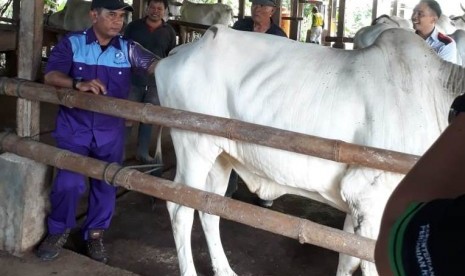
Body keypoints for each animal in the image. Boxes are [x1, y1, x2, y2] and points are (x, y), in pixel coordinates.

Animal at [155, 24, 464, 276]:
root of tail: (177, 53)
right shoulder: (370, 196)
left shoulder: (357, 205)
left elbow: (347, 257)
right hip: (193, 146)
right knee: (179, 208)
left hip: (220, 156)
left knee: (209, 207)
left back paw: (224, 269)